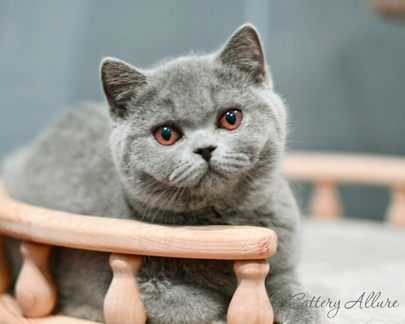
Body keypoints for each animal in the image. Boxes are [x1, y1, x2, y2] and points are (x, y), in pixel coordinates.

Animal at [0, 24, 322, 322]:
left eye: (231, 118)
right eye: (166, 134)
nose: (205, 148)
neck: (219, 226)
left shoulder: (284, 258)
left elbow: (285, 282)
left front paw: (300, 310)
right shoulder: (98, 278)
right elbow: (178, 301)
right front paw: (219, 309)